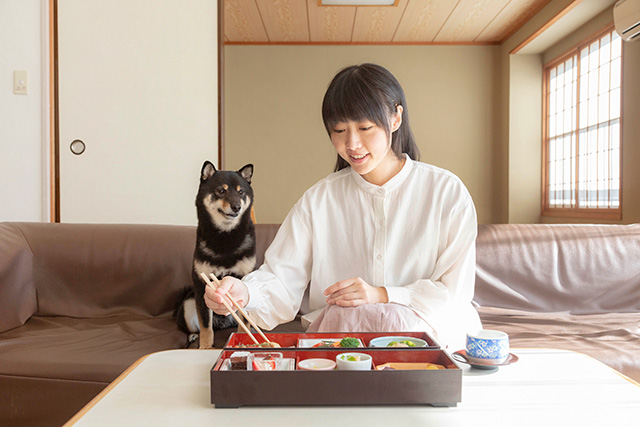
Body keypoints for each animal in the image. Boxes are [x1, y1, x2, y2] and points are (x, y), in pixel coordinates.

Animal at [176, 160, 256, 348]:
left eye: (241, 192)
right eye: (221, 190)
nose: (237, 206)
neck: (225, 238)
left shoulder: (244, 279)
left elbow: (245, 322)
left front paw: (245, 339)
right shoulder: (201, 285)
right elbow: (206, 326)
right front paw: (205, 347)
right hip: (189, 304)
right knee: (196, 327)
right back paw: (193, 337)